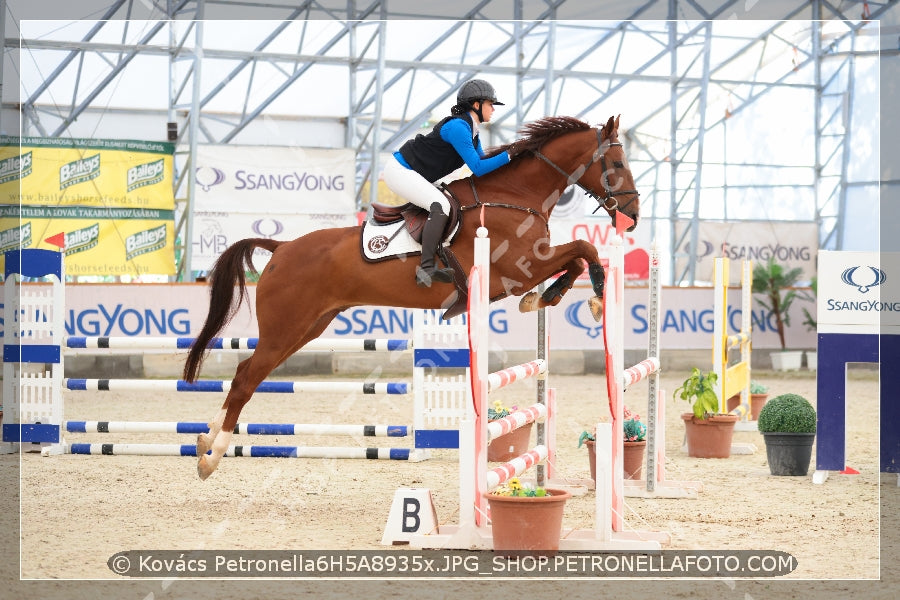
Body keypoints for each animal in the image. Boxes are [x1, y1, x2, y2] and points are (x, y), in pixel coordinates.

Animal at [183, 113, 640, 478]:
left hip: (307, 327)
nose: (633, 216)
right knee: (246, 378)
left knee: (246, 371)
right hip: (286, 326)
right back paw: (211, 455)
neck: (516, 196)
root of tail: (281, 248)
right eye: (617, 163)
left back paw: (205, 440)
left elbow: (577, 256)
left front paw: (546, 299)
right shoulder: (517, 268)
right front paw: (593, 297)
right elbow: (584, 249)